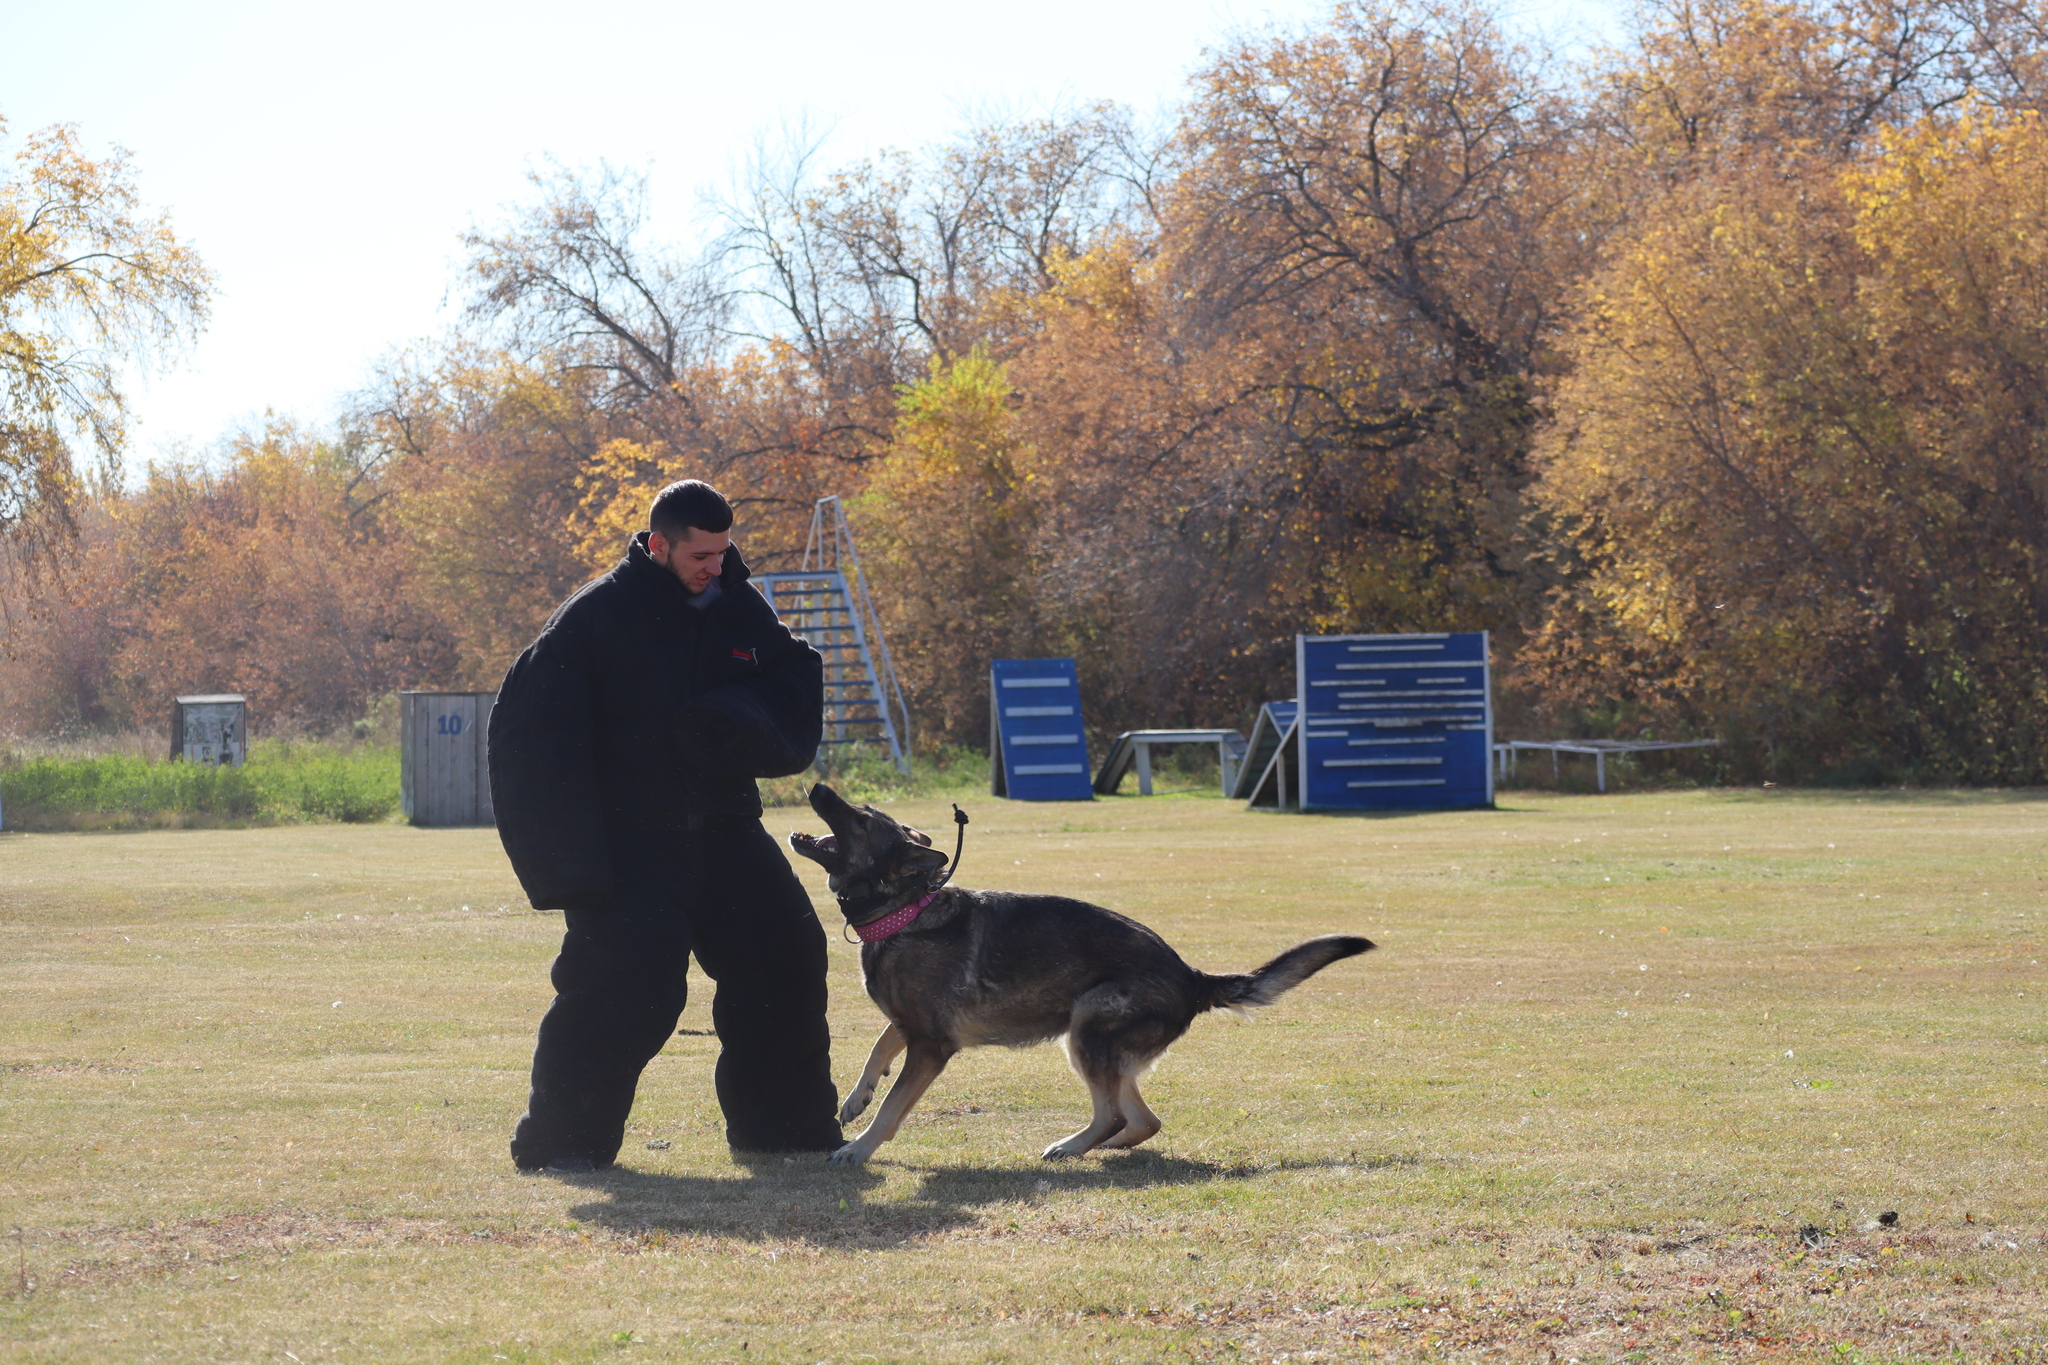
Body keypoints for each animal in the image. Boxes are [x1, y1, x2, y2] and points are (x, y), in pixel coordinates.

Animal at [786, 777, 1376, 1162]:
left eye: (861, 820)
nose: (816, 784)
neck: (905, 912)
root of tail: (1191, 976)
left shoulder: (932, 1044)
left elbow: (893, 1105)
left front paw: (860, 1148)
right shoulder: (912, 1027)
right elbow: (878, 1048)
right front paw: (855, 1100)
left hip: (1087, 1028)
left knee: (1116, 1113)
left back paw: (1074, 1144)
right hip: (1095, 1046)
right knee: (1142, 1119)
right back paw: (1094, 1147)